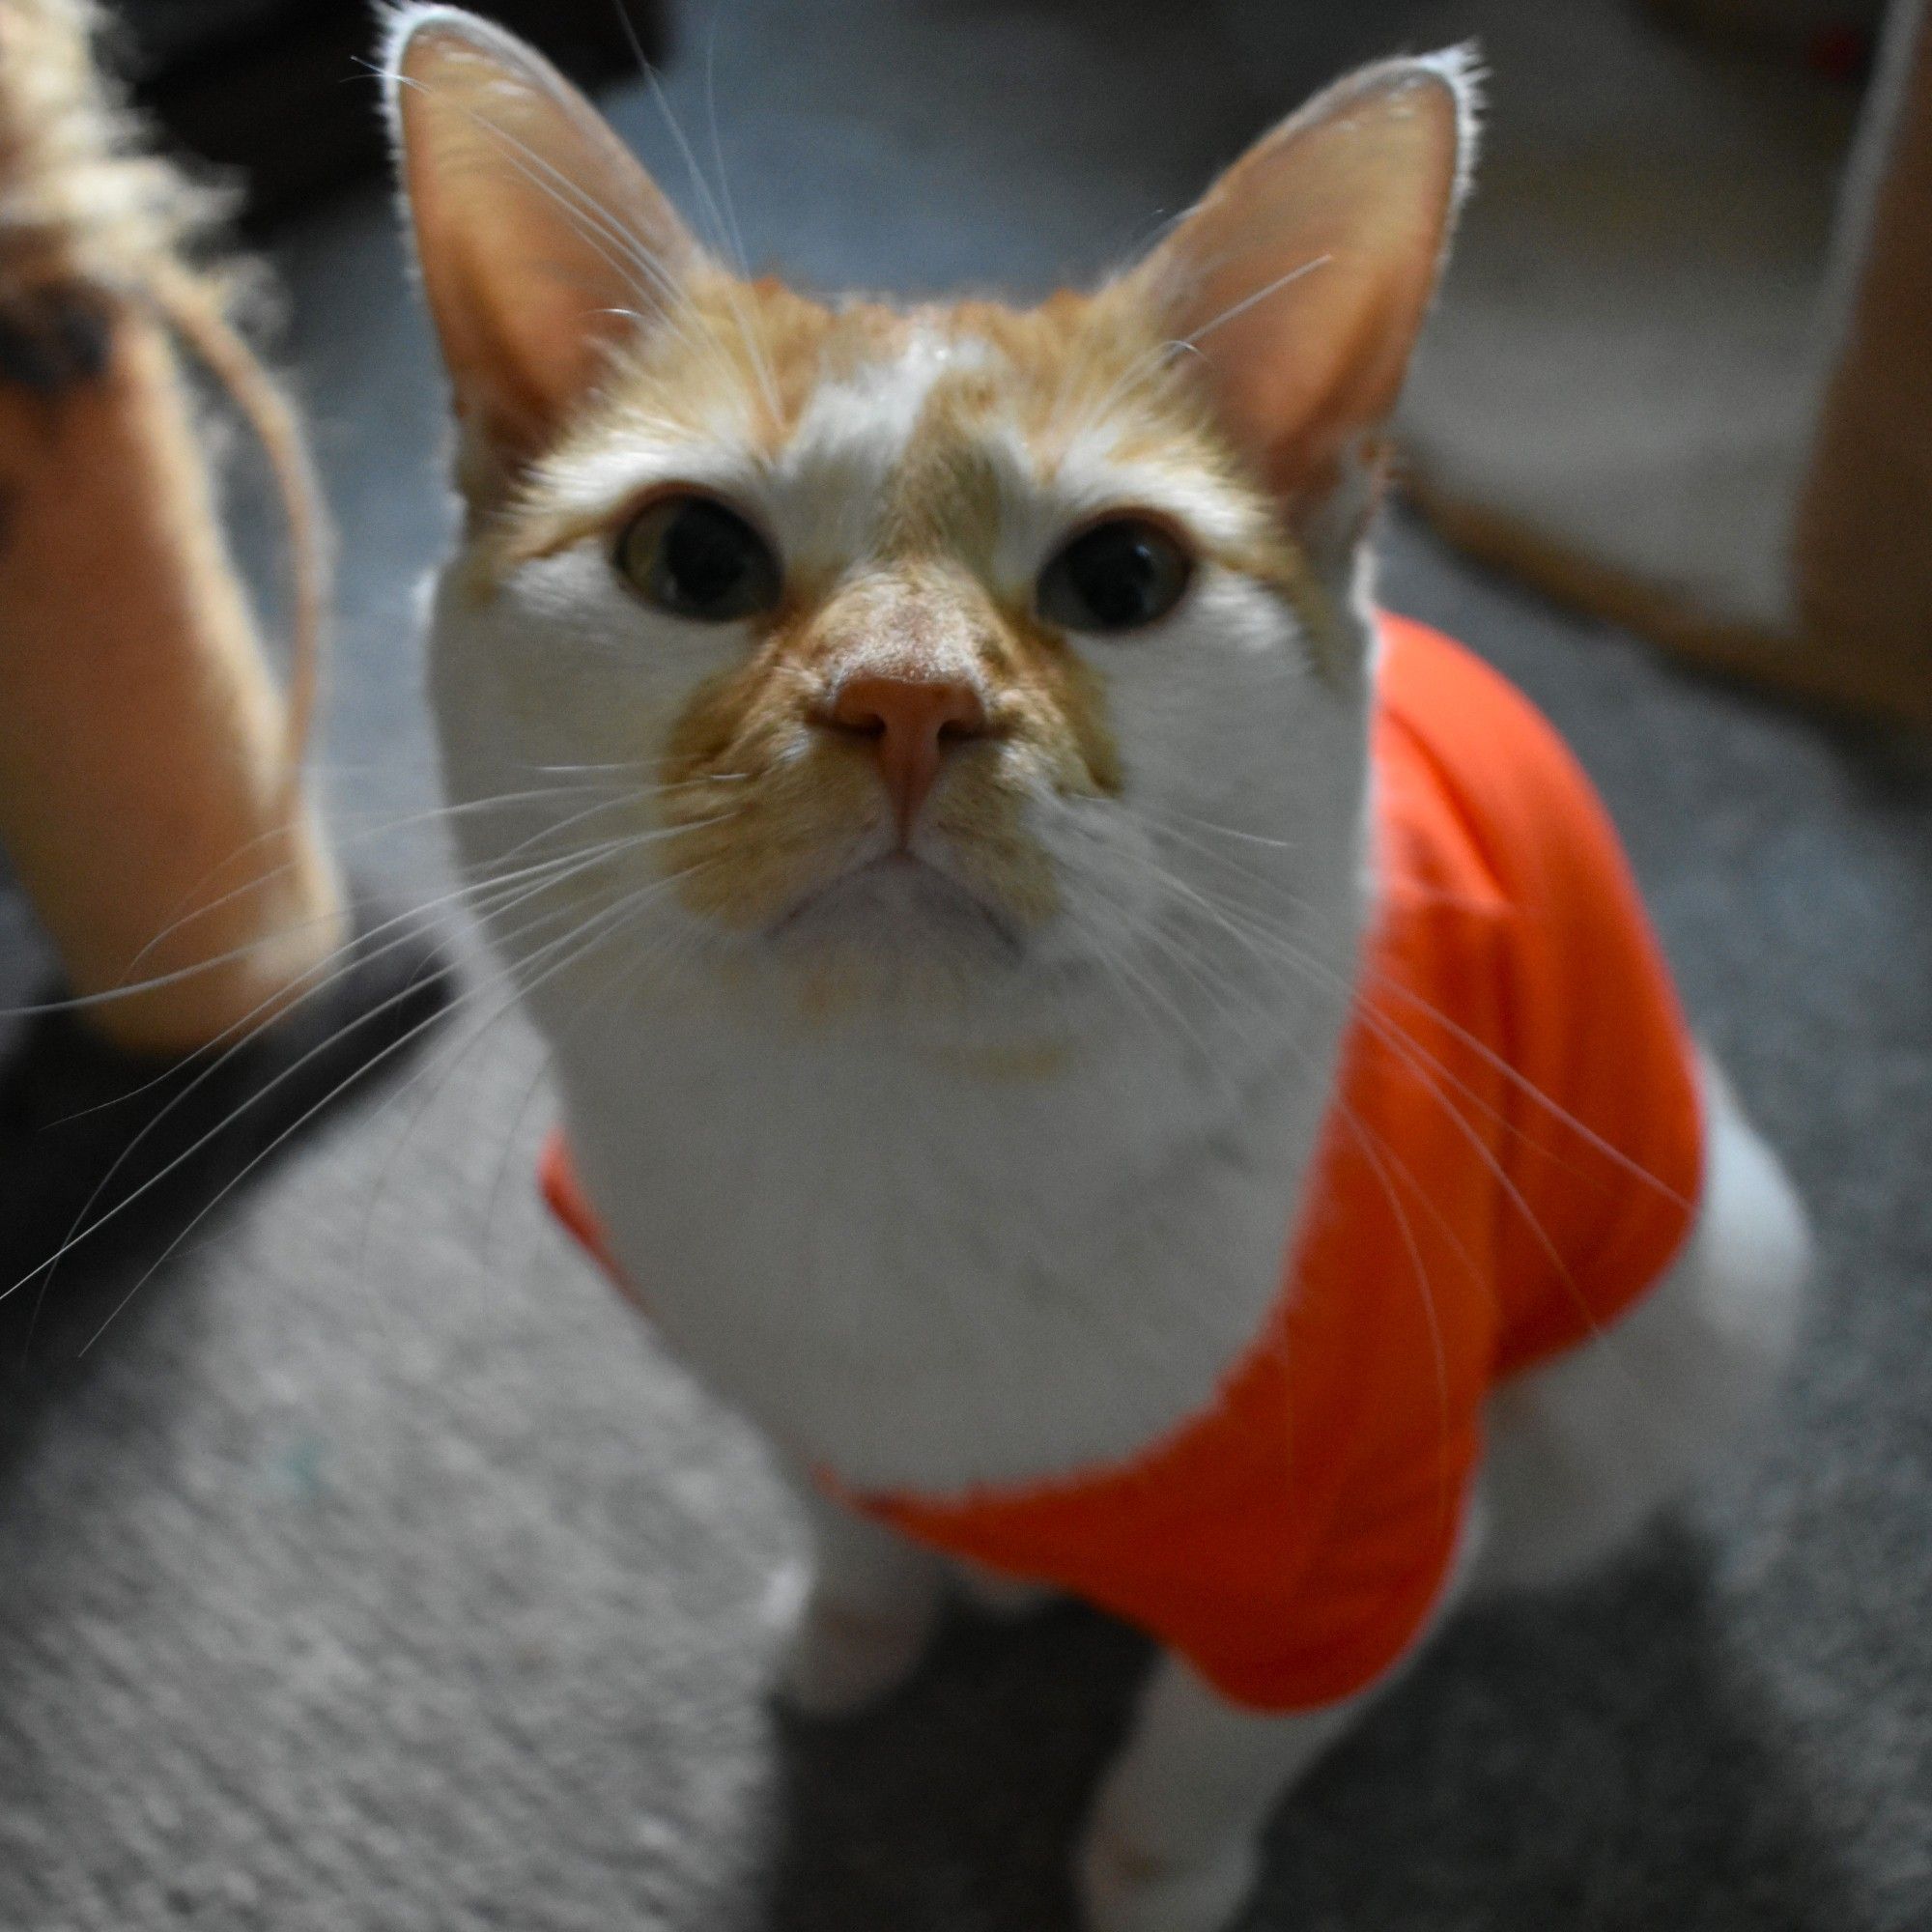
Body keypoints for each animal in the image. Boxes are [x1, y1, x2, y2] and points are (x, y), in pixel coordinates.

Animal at [381, 7, 1808, 1924]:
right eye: (692, 556)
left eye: (1124, 574)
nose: (908, 698)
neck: (899, 1169)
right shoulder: (785, 1402)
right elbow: (849, 1526)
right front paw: (854, 1628)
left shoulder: (1358, 1561)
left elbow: (1210, 1747)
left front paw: (1151, 1878)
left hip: (1698, 1307)